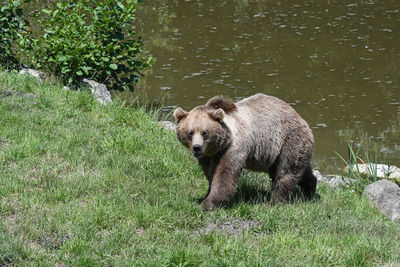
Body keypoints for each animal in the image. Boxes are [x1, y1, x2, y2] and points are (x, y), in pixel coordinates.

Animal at [173, 94, 318, 211]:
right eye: (190, 132)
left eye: (204, 132)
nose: (197, 147)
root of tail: (302, 119)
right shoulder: (208, 157)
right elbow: (210, 173)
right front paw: (207, 194)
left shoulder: (233, 149)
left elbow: (224, 175)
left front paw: (207, 204)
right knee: (301, 170)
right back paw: (310, 189)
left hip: (287, 142)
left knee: (284, 173)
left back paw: (277, 202)